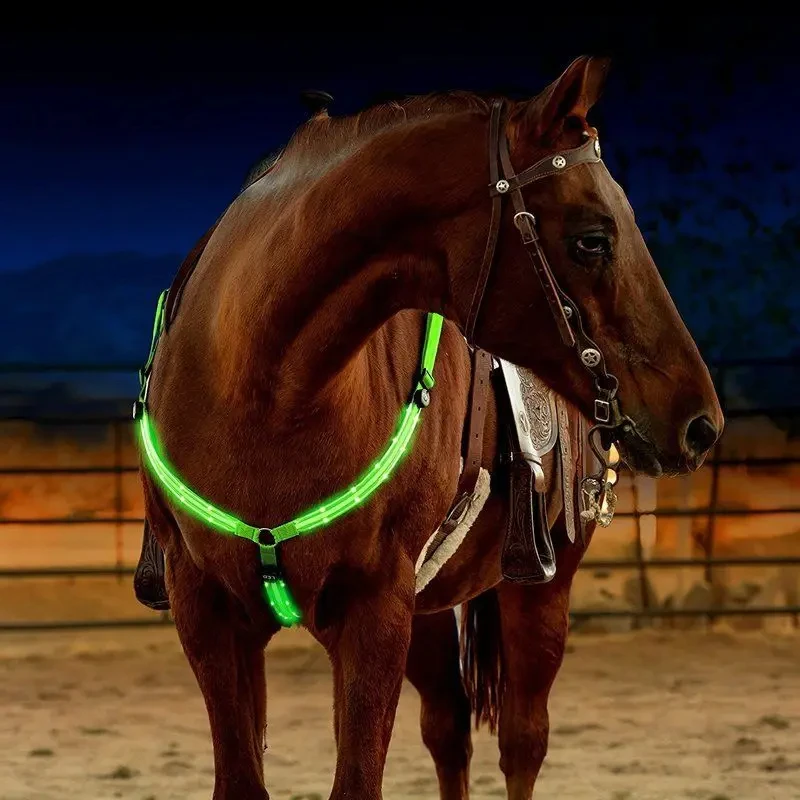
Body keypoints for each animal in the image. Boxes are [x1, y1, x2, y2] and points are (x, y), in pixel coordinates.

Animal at [137, 55, 723, 799]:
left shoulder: (375, 611)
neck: (263, 392)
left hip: (539, 589)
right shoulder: (208, 611)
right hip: (428, 613)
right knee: (448, 730)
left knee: (523, 741)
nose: (701, 423)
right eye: (592, 238)